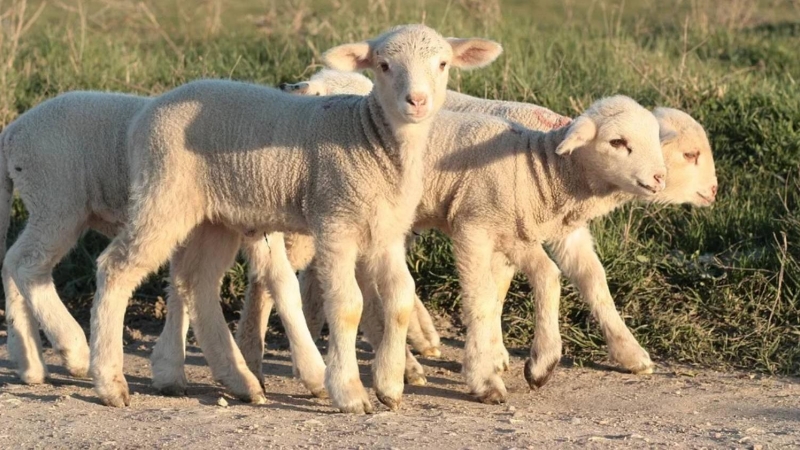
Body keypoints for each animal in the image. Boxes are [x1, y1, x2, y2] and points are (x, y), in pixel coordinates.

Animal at [86, 22, 500, 414]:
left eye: (443, 64)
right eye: (384, 65)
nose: (417, 101)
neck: (370, 139)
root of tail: (146, 113)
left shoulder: (386, 232)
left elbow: (399, 300)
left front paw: (390, 385)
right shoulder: (335, 221)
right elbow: (347, 306)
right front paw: (349, 392)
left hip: (213, 217)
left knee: (197, 284)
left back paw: (241, 381)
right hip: (164, 194)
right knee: (116, 268)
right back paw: (110, 382)